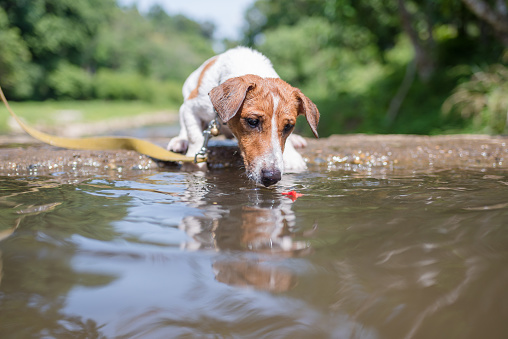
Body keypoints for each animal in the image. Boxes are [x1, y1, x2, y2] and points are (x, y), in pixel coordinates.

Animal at [169, 46, 320, 187]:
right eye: (252, 121)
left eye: (288, 126)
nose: (272, 177)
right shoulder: (191, 107)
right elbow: (194, 136)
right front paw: (193, 160)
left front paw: (292, 155)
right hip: (183, 105)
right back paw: (180, 141)